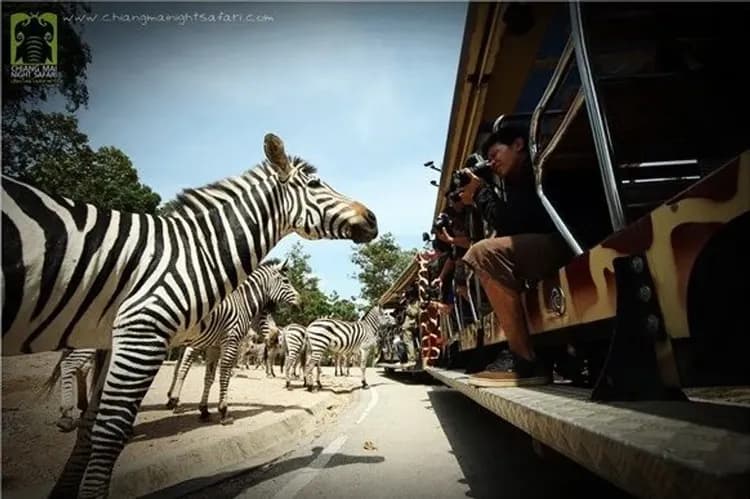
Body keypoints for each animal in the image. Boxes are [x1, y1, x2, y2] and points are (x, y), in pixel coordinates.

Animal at [164, 262, 300, 426]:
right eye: (264, 313)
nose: (275, 338)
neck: (241, 304)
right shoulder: (222, 343)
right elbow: (216, 374)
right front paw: (223, 411)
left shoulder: (213, 346)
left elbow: (208, 377)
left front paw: (202, 409)